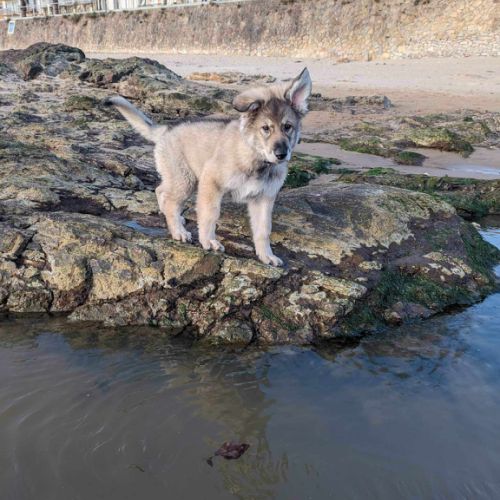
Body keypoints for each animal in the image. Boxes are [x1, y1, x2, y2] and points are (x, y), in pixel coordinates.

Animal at [107, 68, 312, 266]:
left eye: (287, 127)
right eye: (266, 128)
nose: (281, 154)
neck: (256, 157)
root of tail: (167, 130)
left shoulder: (264, 199)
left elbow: (263, 230)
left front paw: (266, 256)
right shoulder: (211, 182)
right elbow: (210, 215)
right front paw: (208, 241)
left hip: (179, 178)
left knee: (161, 190)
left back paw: (174, 218)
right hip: (186, 180)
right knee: (171, 200)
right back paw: (178, 231)